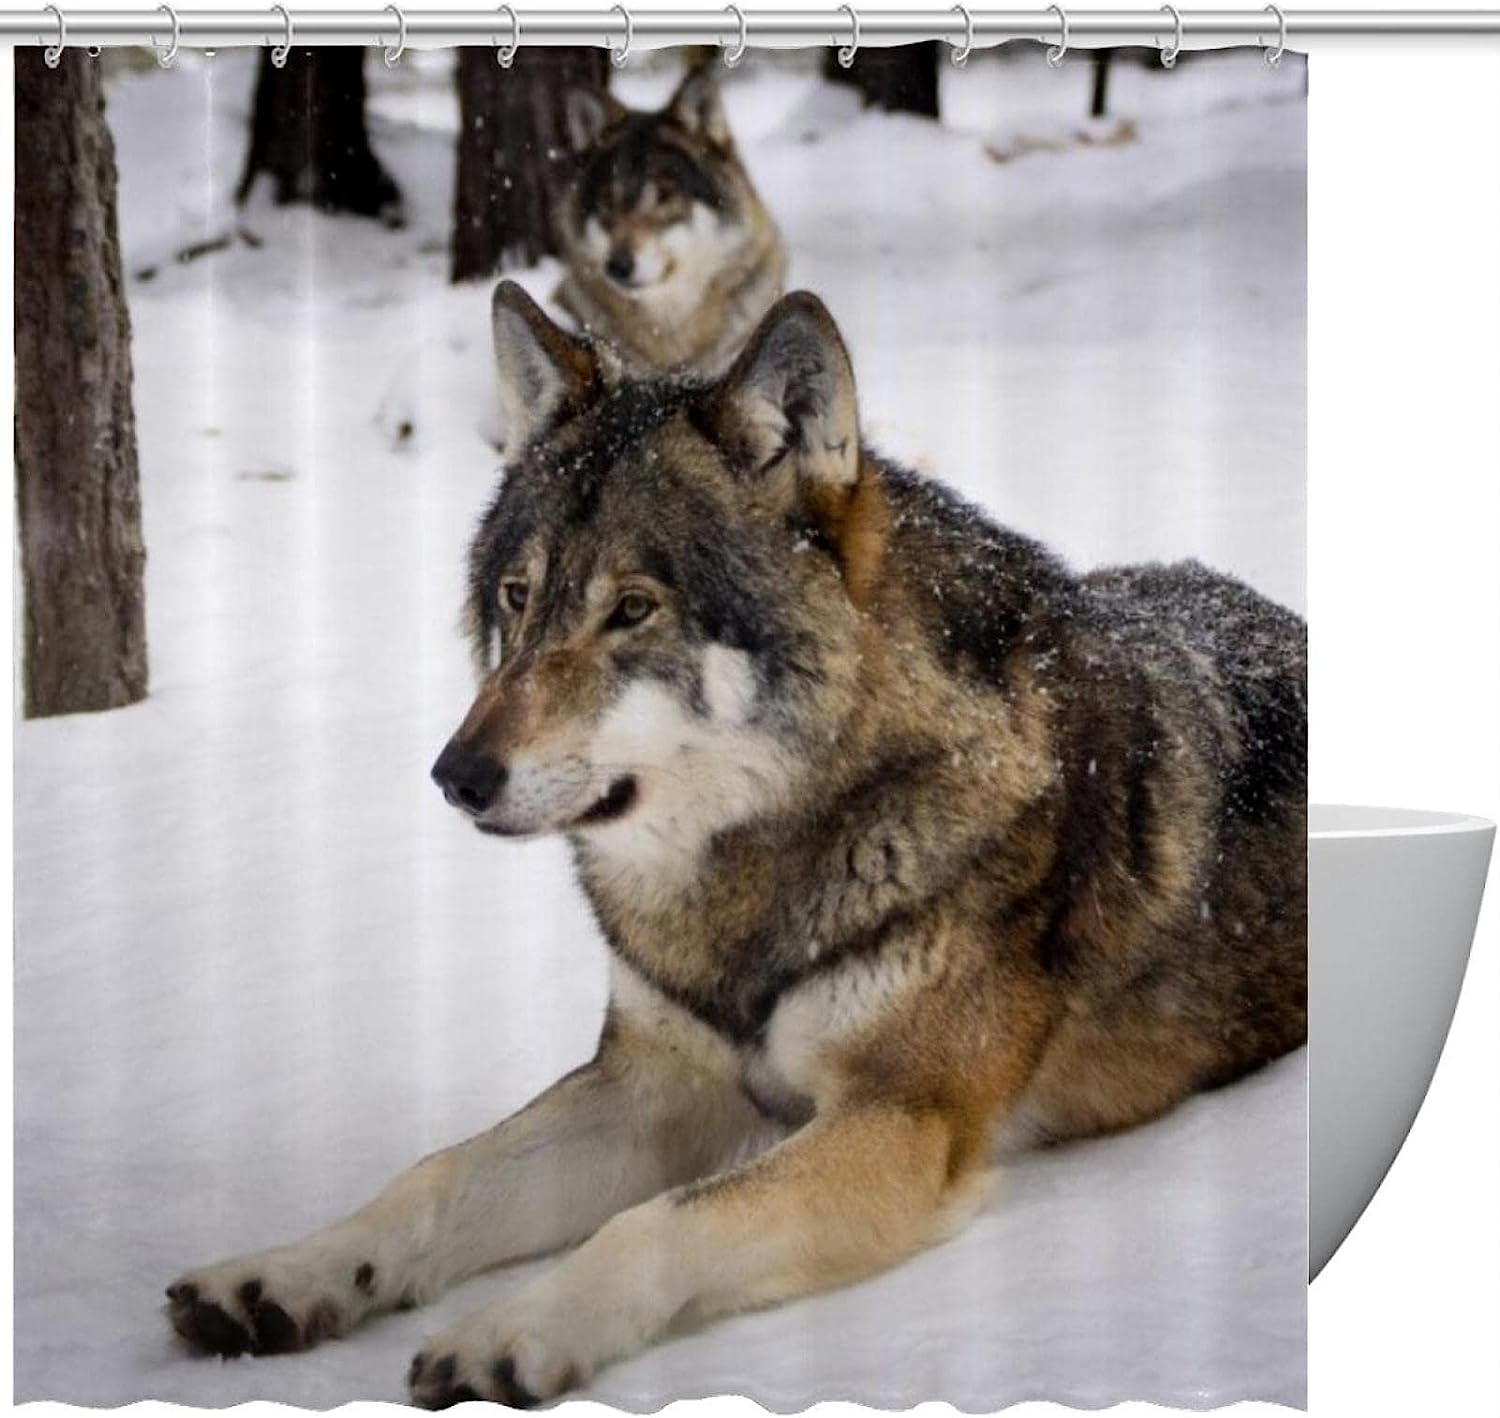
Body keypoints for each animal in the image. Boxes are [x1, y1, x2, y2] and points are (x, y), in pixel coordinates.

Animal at [165, 283, 1307, 1406]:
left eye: (632, 609)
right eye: (517, 597)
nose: (458, 775)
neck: (760, 862)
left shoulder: (903, 1120)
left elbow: (655, 1223)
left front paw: (512, 1330)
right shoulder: (652, 1088)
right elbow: (439, 1173)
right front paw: (286, 1273)